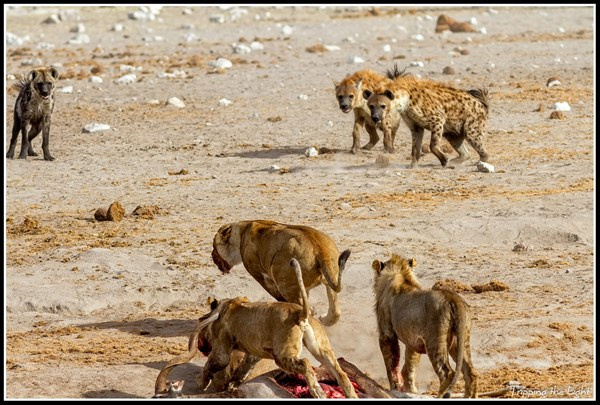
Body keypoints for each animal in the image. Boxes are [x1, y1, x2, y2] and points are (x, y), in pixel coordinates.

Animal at [154, 258, 356, 396]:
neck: (226, 306)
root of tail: (300, 312)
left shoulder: (221, 351)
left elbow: (213, 365)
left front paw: (201, 383)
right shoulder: (254, 352)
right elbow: (244, 369)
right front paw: (233, 385)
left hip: (283, 355)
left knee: (306, 364)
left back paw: (318, 392)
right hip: (322, 349)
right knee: (342, 375)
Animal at [370, 254, 478, 396]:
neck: (399, 275)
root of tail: (452, 297)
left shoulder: (386, 334)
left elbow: (392, 363)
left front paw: (395, 387)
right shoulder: (413, 340)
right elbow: (409, 365)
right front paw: (410, 390)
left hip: (435, 342)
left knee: (447, 373)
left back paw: (440, 396)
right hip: (461, 339)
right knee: (471, 372)